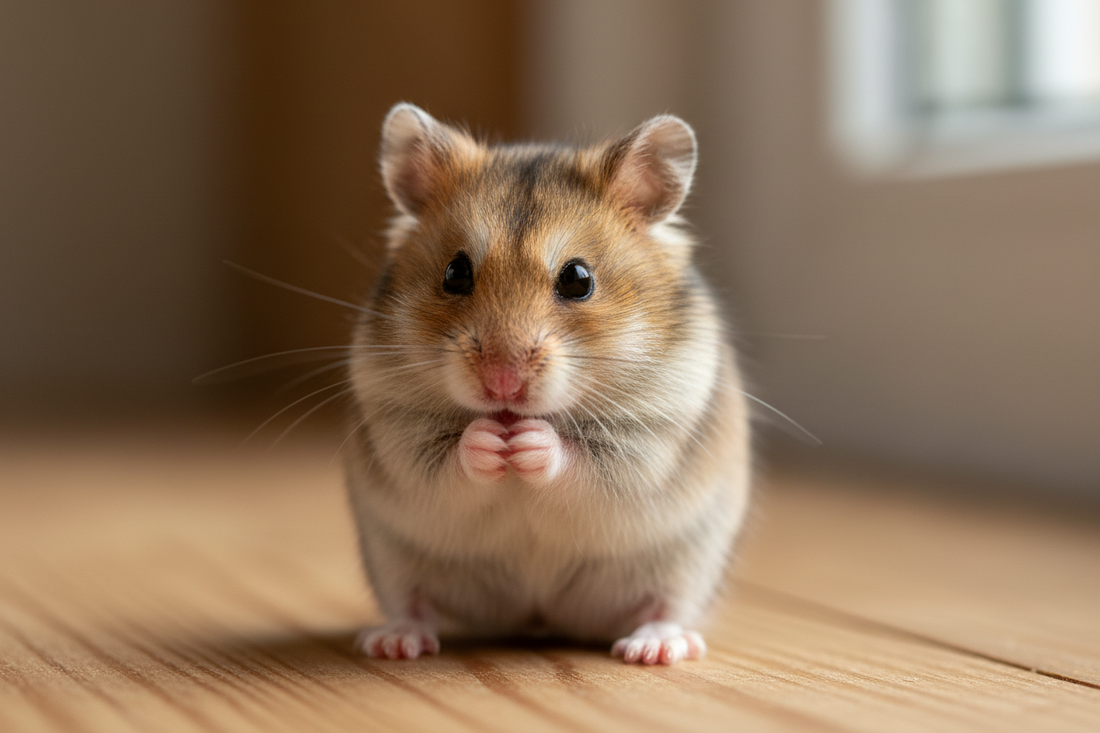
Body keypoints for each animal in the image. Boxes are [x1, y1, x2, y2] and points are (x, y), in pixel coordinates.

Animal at [345, 103, 751, 665]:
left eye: (578, 279)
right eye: (455, 273)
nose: (502, 384)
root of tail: (538, 616)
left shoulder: (647, 437)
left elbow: (579, 459)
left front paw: (527, 443)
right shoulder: (399, 430)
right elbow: (447, 459)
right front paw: (493, 441)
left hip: (689, 560)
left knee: (666, 607)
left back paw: (653, 649)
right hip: (392, 559)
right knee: (414, 604)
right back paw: (392, 643)